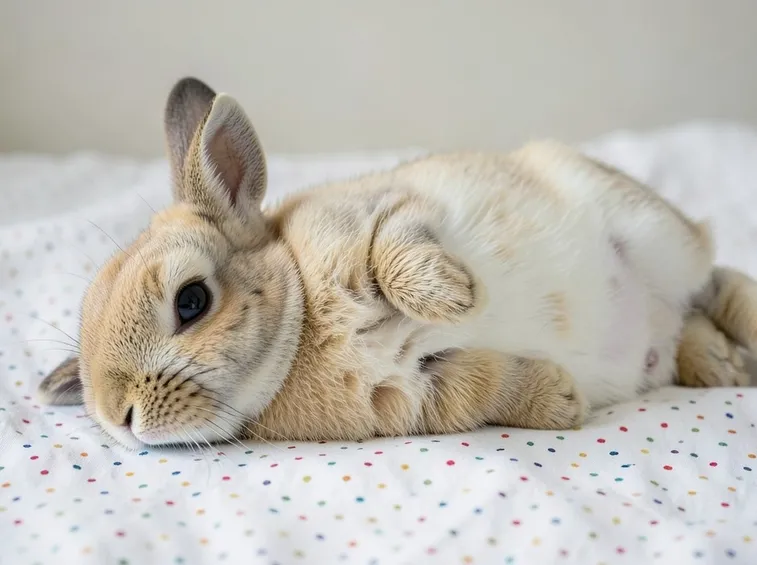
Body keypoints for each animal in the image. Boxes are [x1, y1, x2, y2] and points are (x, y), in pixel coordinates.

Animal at [37, 77, 754, 449]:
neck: (303, 325)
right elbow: (486, 385)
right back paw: (718, 362)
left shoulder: (382, 214)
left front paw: (454, 296)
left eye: (191, 301)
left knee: (717, 278)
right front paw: (559, 400)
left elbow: (395, 253)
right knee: (693, 315)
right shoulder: (416, 394)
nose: (119, 416)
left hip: (650, 228)